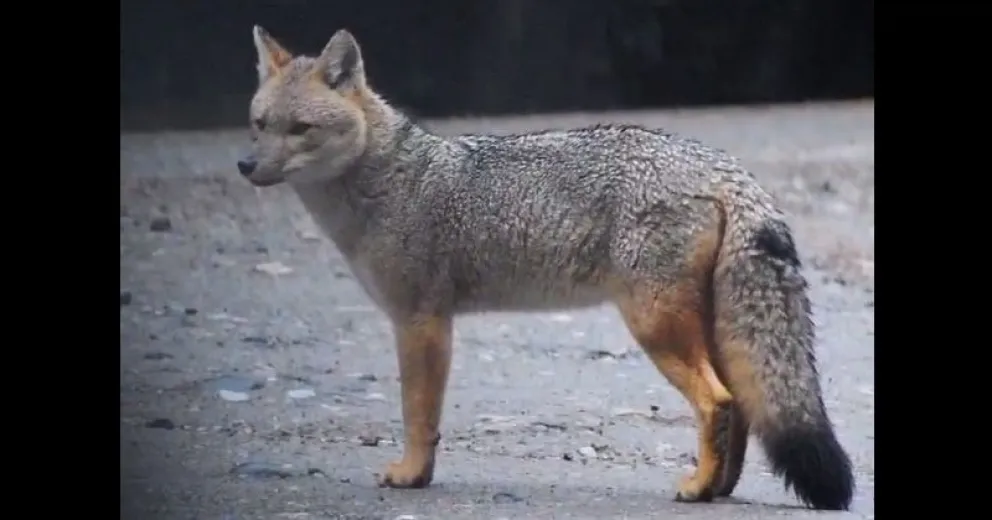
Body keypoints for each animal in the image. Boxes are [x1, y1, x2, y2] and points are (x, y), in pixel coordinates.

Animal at [237, 26, 856, 511]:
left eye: (300, 129)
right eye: (259, 123)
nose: (244, 164)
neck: (389, 180)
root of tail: (722, 165)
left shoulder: (420, 322)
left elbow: (417, 413)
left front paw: (412, 476)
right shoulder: (430, 321)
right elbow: (424, 415)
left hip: (657, 329)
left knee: (719, 402)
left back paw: (698, 489)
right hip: (706, 329)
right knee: (742, 406)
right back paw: (721, 489)